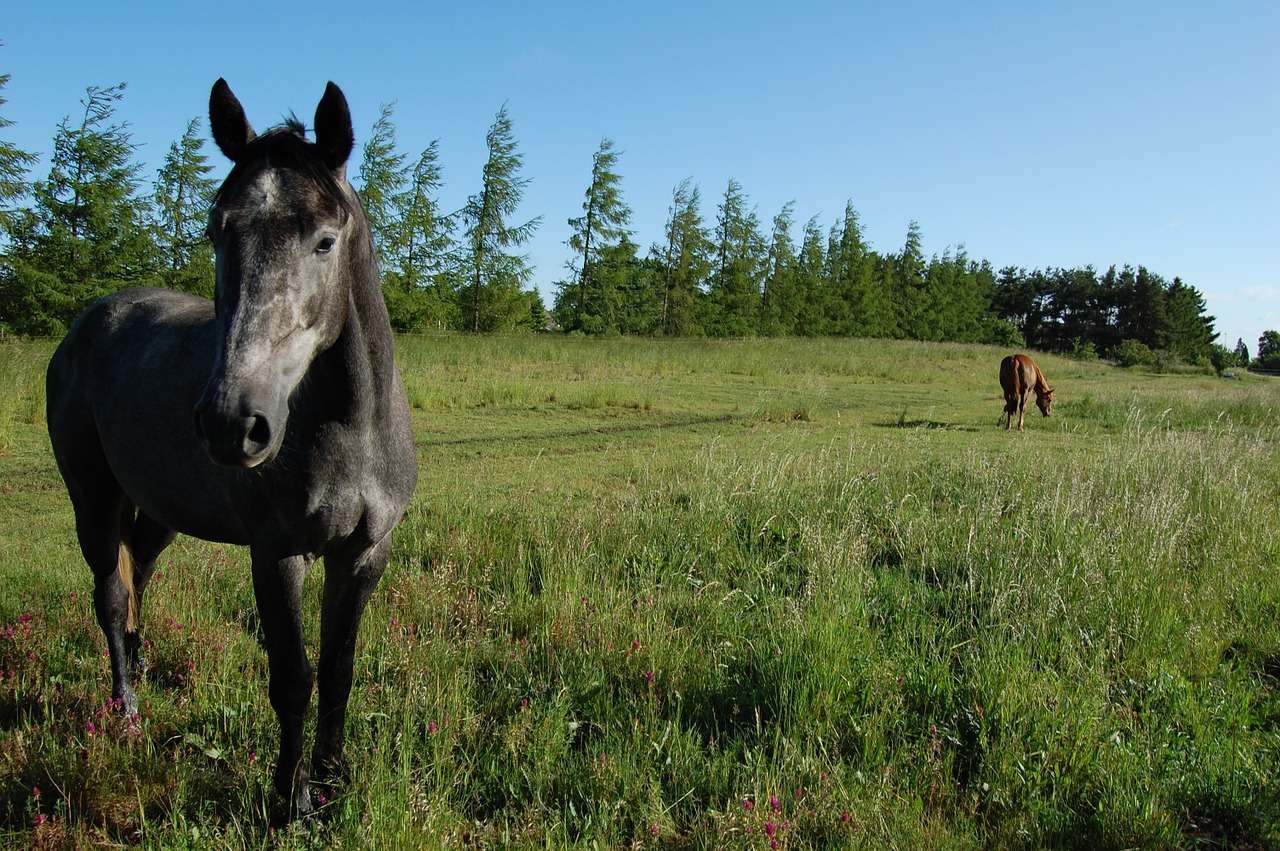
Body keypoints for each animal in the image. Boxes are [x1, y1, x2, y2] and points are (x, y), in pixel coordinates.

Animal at [43, 79, 414, 819]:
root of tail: (86, 324)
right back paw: (127, 713)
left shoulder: (364, 553)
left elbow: (339, 671)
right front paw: (290, 802)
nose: (230, 423)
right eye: (217, 230)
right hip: (92, 499)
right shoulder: (278, 553)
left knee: (136, 579)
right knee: (111, 597)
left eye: (324, 240)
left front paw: (332, 785)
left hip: (157, 514)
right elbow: (293, 678)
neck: (352, 427)